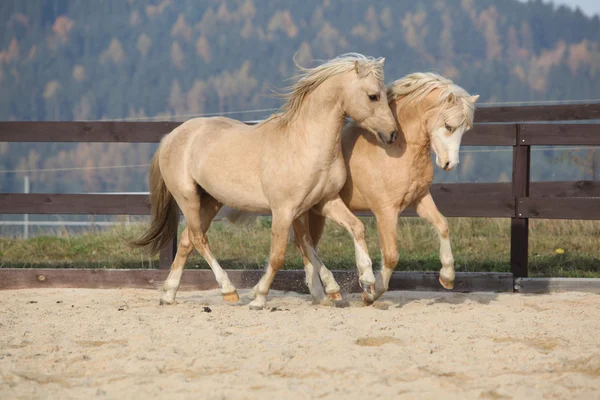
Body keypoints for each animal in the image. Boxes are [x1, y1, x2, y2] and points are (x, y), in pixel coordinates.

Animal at [129, 53, 398, 310]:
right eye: (373, 96)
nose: (393, 134)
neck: (305, 143)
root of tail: (170, 137)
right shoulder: (283, 210)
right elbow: (279, 255)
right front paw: (258, 298)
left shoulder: (324, 202)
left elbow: (348, 230)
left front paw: (363, 281)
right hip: (187, 197)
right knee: (199, 239)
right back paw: (229, 291)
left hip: (210, 201)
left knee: (186, 241)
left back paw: (169, 295)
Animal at [290, 72, 478, 304]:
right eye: (448, 126)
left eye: (465, 129)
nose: (450, 164)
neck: (396, 150)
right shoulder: (386, 211)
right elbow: (391, 256)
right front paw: (370, 293)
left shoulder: (420, 199)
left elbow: (443, 225)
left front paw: (447, 277)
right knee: (304, 244)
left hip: (316, 214)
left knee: (307, 245)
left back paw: (320, 293)